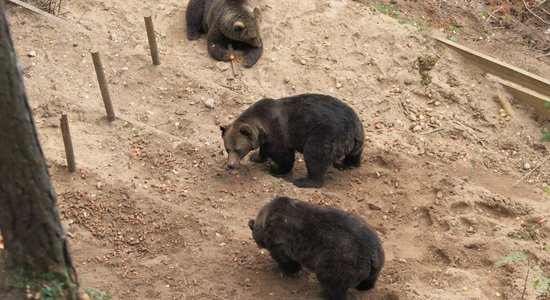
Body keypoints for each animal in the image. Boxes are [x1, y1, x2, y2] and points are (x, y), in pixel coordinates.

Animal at [220, 93, 366, 188]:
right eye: (227, 149)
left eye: (238, 150)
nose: (230, 165)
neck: (261, 122)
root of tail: (351, 128)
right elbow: (264, 149)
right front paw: (256, 157)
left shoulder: (278, 131)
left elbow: (284, 155)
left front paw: (275, 168)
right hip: (358, 134)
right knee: (355, 152)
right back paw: (346, 163)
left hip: (325, 135)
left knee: (315, 156)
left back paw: (305, 181)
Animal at [248, 197, 386, 300]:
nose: (258, 244)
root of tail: (371, 255)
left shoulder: (279, 239)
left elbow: (285, 259)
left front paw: (289, 270)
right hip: (376, 258)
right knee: (369, 280)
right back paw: (364, 286)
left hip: (339, 261)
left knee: (333, 284)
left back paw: (326, 294)